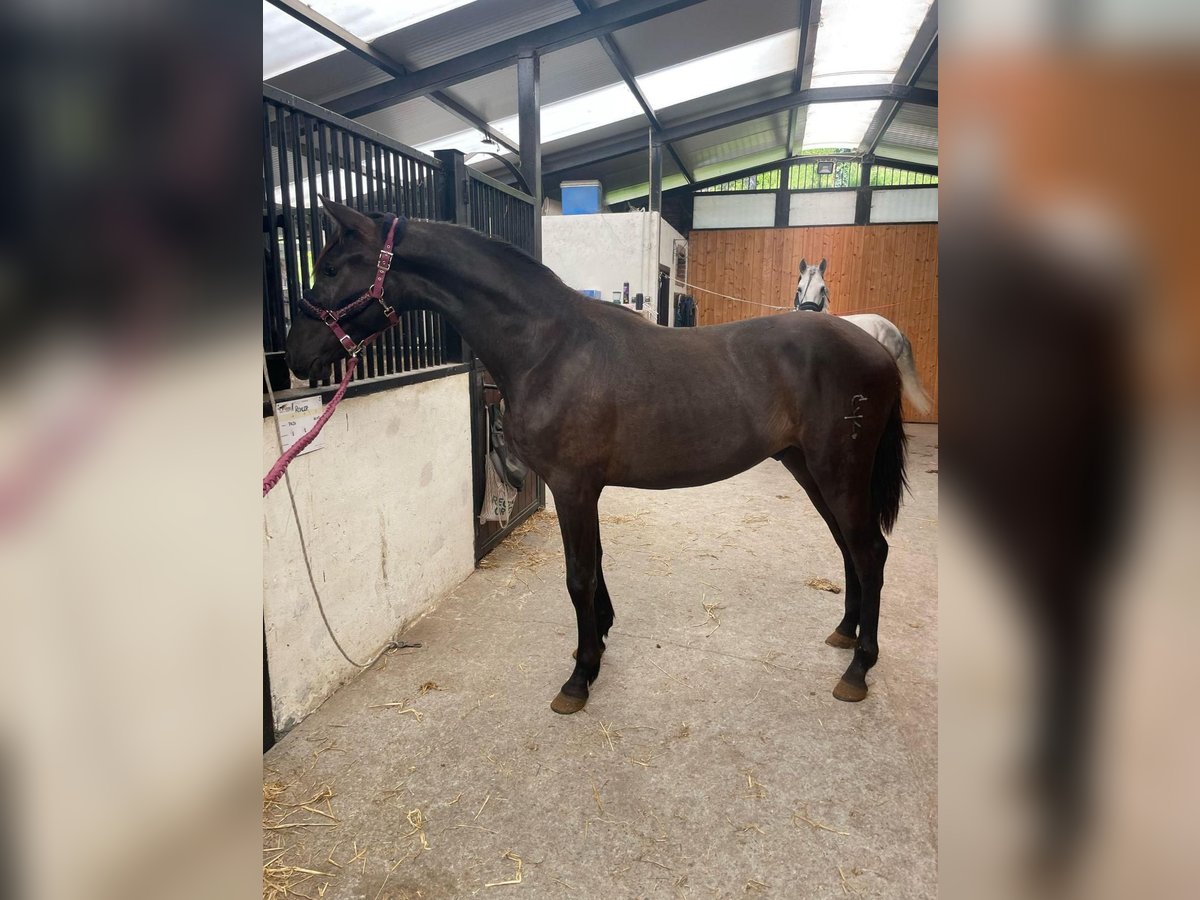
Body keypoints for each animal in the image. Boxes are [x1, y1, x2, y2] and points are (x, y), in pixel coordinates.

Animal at [285, 199, 909, 714]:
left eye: (332, 267)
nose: (295, 354)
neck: (550, 346)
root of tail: (878, 349)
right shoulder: (585, 488)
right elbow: (597, 565)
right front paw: (601, 640)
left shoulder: (571, 486)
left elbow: (579, 575)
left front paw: (580, 677)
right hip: (811, 471)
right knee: (850, 548)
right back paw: (845, 632)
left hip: (838, 473)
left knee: (871, 552)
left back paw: (859, 668)